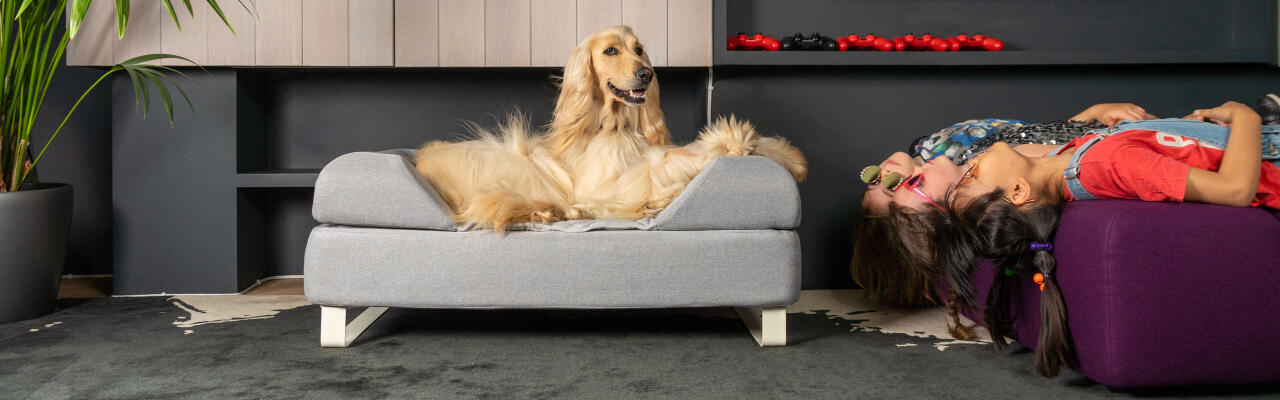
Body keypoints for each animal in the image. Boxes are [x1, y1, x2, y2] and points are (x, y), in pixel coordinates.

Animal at [414, 25, 803, 230]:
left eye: (639, 49)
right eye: (611, 51)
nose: (647, 75)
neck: (615, 127)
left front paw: (789, 157)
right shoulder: (605, 181)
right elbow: (672, 164)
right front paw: (733, 140)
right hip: (505, 160)